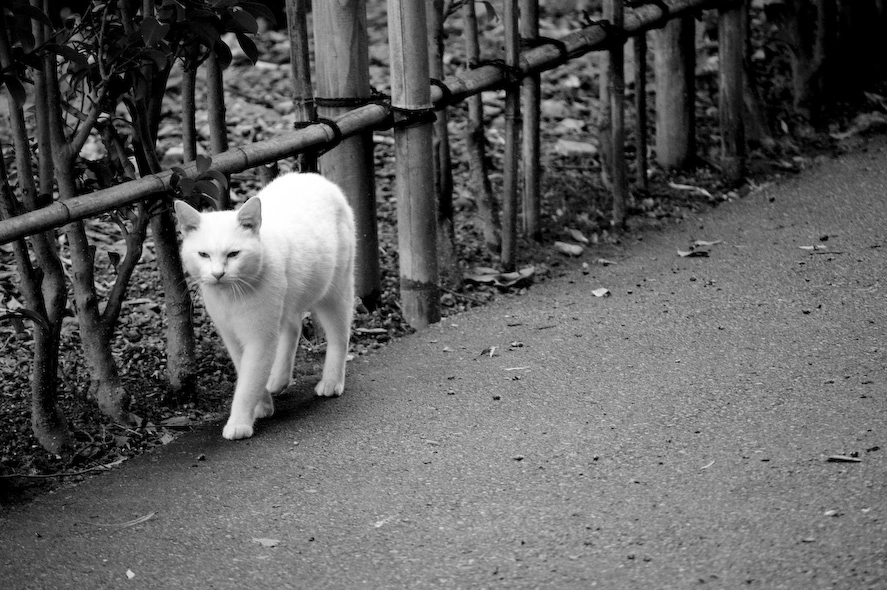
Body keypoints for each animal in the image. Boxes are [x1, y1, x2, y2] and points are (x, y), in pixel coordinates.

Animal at [175, 171, 356, 440]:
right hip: (289, 301)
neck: (230, 297)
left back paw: (331, 382)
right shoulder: (232, 337)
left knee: (339, 335)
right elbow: (245, 372)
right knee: (293, 327)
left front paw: (239, 422)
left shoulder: (259, 338)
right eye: (203, 255)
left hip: (334, 292)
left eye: (233, 254)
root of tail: (314, 177)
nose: (218, 274)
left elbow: (248, 382)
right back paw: (278, 379)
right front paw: (261, 406)